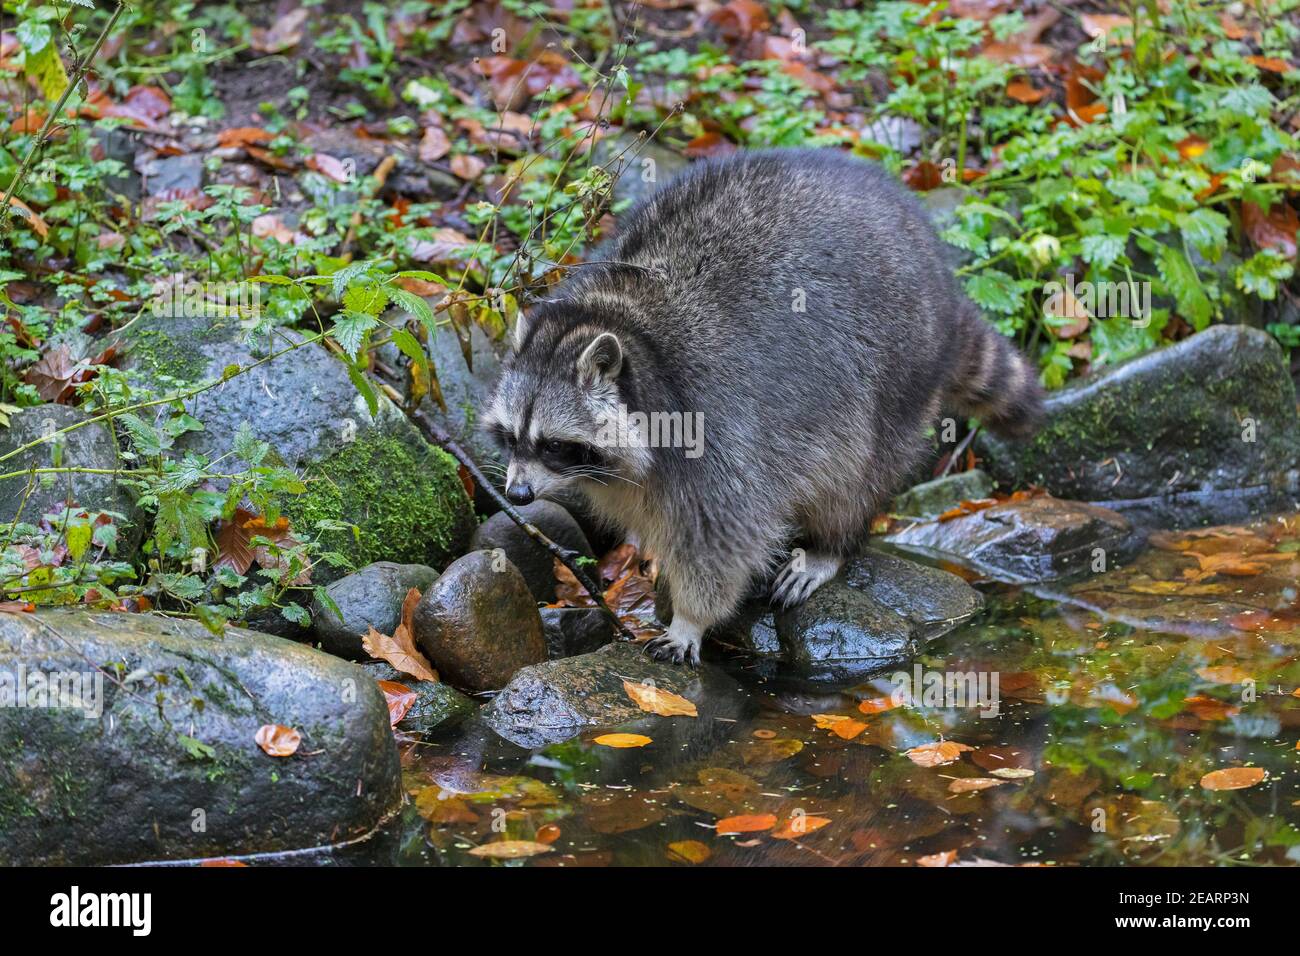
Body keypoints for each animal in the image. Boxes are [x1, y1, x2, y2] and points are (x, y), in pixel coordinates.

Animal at [483, 149, 1040, 665]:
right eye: (511, 437)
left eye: (555, 445)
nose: (518, 493)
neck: (619, 321)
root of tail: (938, 273)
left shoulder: (713, 421)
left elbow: (724, 535)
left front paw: (690, 617)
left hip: (898, 364)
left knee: (858, 469)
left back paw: (831, 544)